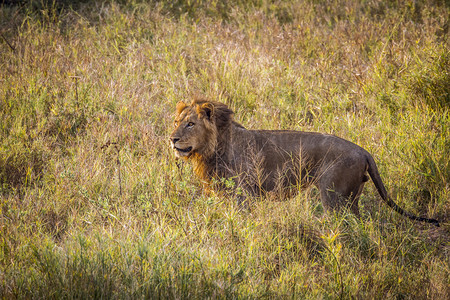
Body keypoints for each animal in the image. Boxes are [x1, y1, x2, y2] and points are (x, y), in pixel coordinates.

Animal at [169, 98, 440, 227]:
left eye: (190, 124)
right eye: (176, 122)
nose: (172, 139)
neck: (213, 148)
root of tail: (364, 151)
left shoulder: (244, 196)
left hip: (334, 196)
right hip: (351, 199)